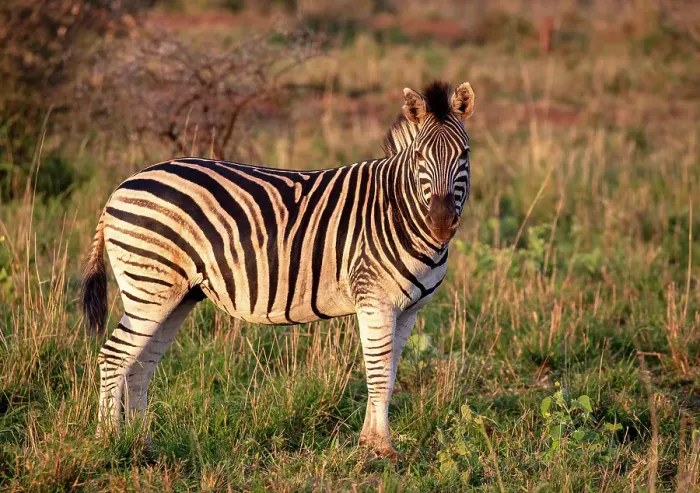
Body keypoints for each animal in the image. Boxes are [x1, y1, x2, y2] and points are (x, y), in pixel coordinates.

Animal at [82, 80, 475, 459]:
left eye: (465, 155)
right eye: (420, 157)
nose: (442, 223)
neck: (398, 208)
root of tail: (121, 187)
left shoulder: (409, 309)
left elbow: (390, 374)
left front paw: (369, 441)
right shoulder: (374, 299)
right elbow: (378, 374)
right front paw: (381, 447)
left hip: (176, 296)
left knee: (140, 364)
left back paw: (143, 445)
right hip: (149, 287)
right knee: (114, 356)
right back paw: (109, 444)